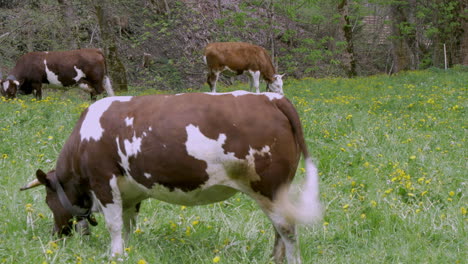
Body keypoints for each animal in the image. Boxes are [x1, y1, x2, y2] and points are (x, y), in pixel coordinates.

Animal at [21, 91, 322, 264]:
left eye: (49, 201)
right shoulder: (131, 192)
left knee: (286, 228)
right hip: (276, 192)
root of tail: (270, 97)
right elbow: (128, 224)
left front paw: (115, 255)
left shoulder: (104, 181)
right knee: (278, 229)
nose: (56, 235)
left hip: (268, 187)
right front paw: (128, 251)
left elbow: (114, 225)